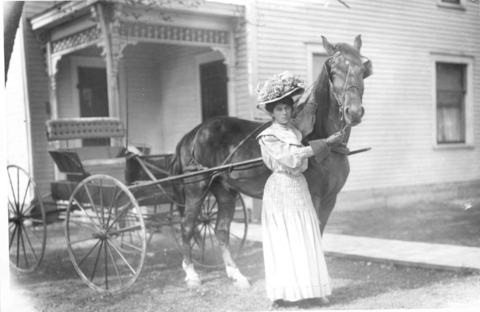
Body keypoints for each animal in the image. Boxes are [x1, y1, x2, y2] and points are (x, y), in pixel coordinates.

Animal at [168, 36, 372, 288]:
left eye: (362, 70)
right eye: (333, 71)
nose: (353, 112)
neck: (321, 140)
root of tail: (194, 133)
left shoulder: (330, 200)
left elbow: (320, 233)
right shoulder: (313, 197)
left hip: (225, 191)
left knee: (221, 230)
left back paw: (236, 274)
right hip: (197, 189)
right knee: (187, 226)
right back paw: (191, 274)